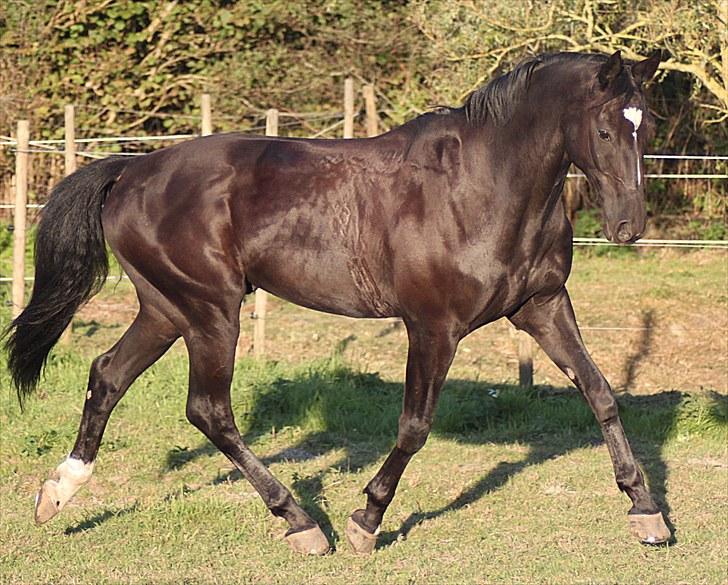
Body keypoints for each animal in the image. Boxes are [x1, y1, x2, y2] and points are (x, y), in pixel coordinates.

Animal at [5, 49, 668, 552]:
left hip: (167, 309)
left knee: (108, 375)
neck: (479, 188)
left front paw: (646, 511)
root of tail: (133, 171)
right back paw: (301, 522)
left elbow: (601, 393)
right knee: (208, 411)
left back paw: (57, 492)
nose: (629, 227)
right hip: (210, 311)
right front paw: (365, 521)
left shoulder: (543, 307)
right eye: (605, 130)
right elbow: (414, 426)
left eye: (648, 128)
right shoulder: (433, 326)